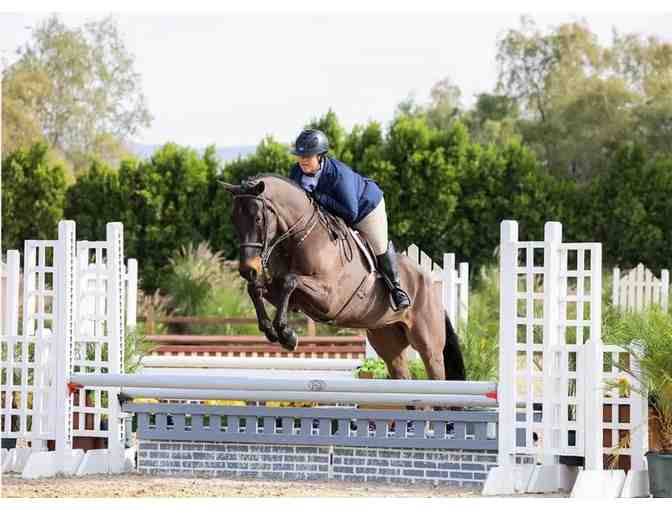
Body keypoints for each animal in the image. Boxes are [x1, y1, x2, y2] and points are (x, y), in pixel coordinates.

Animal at [219, 174, 466, 382]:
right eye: (233, 219)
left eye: (258, 219)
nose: (247, 269)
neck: (300, 239)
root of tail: (431, 282)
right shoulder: (287, 292)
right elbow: (258, 288)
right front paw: (271, 330)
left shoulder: (330, 298)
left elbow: (290, 281)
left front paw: (287, 334)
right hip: (387, 341)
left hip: (429, 347)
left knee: (435, 371)